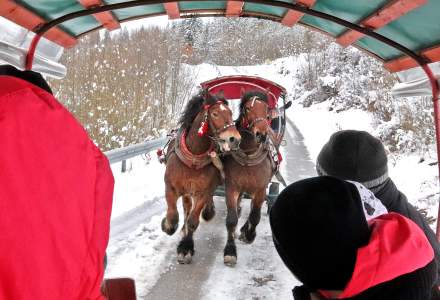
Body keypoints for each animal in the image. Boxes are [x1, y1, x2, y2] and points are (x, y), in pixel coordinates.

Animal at [163, 90, 242, 264]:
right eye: (215, 113)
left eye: (231, 113)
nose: (235, 139)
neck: (193, 157)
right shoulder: (171, 187)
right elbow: (173, 215)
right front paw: (167, 225)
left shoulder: (203, 192)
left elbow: (193, 220)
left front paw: (186, 248)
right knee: (186, 208)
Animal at [223, 90, 276, 266]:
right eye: (247, 109)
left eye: (267, 110)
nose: (261, 134)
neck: (248, 154)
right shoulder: (231, 187)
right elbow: (231, 219)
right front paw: (230, 251)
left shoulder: (260, 189)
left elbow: (255, 215)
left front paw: (248, 235)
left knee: (254, 209)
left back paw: (245, 230)